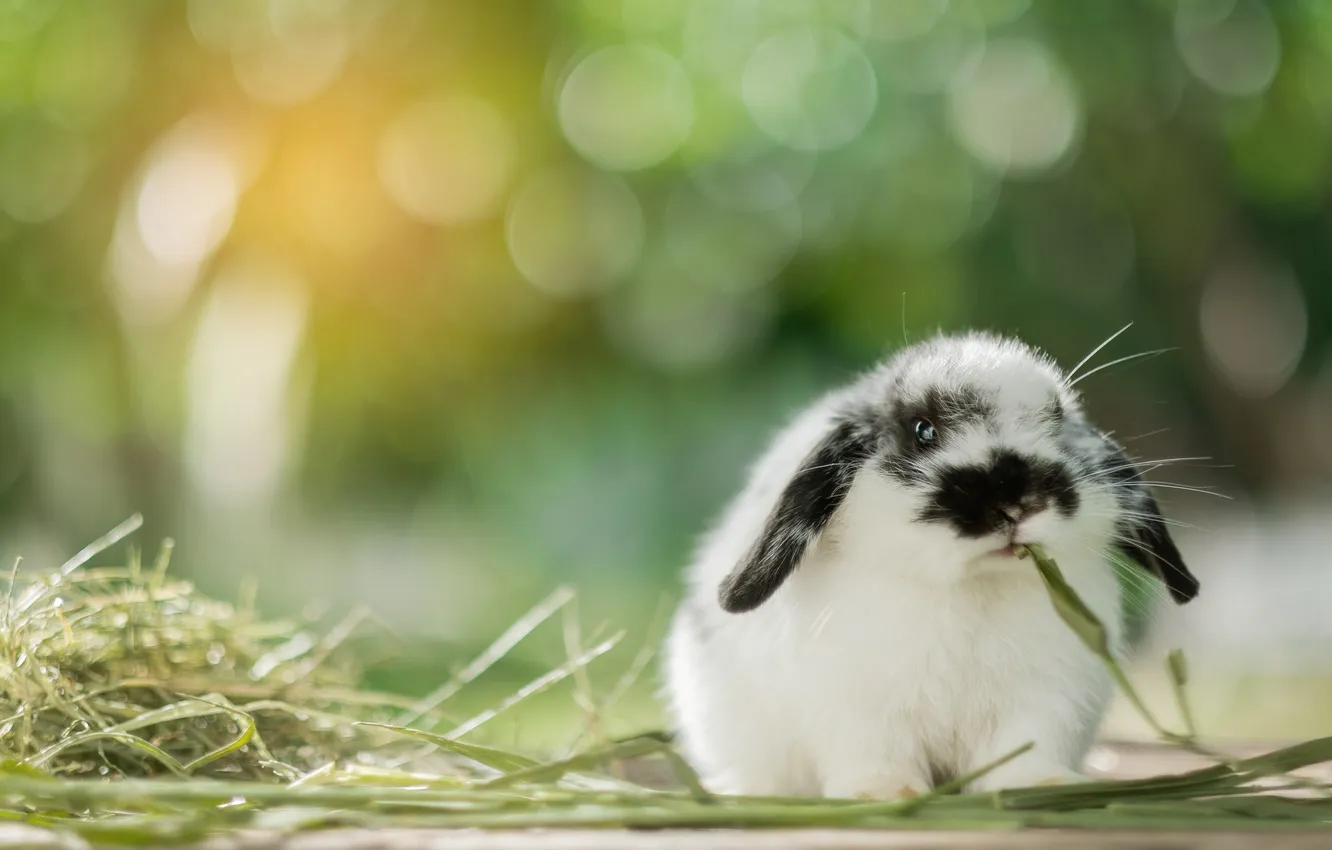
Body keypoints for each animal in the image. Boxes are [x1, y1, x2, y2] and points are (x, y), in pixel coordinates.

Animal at [663, 332, 1199, 799]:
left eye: (1055, 421)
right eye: (924, 431)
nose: (1014, 502)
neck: (970, 588)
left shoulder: (1045, 698)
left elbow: (1026, 750)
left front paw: (1041, 785)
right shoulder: (856, 705)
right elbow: (875, 755)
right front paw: (882, 793)